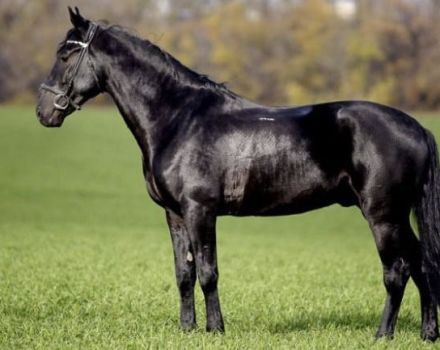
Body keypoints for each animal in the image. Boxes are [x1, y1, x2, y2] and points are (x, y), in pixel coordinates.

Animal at [36, 8, 440, 340]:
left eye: (66, 54)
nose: (44, 112)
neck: (179, 118)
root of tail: (417, 127)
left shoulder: (200, 211)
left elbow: (207, 272)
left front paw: (215, 330)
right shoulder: (174, 214)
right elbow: (184, 274)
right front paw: (187, 329)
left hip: (383, 216)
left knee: (397, 270)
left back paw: (383, 335)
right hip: (398, 217)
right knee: (421, 264)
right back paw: (427, 333)